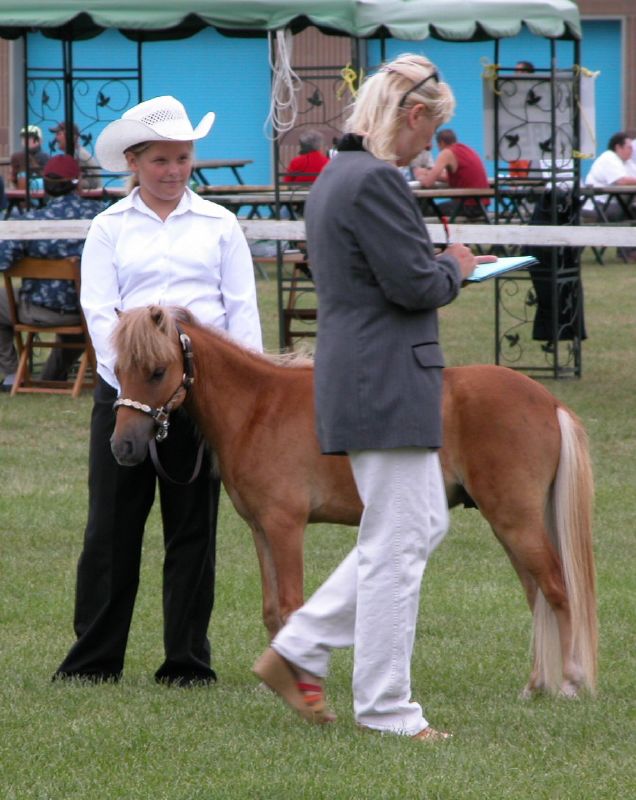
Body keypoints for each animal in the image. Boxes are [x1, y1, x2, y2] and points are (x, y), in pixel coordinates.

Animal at [110, 305, 597, 698]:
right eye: (118, 368)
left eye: (157, 370)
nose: (124, 447)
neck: (259, 408)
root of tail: (548, 401)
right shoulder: (261, 529)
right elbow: (270, 609)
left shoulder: (286, 527)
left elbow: (289, 604)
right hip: (512, 525)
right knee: (537, 595)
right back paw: (535, 685)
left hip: (515, 520)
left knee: (557, 591)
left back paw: (569, 683)